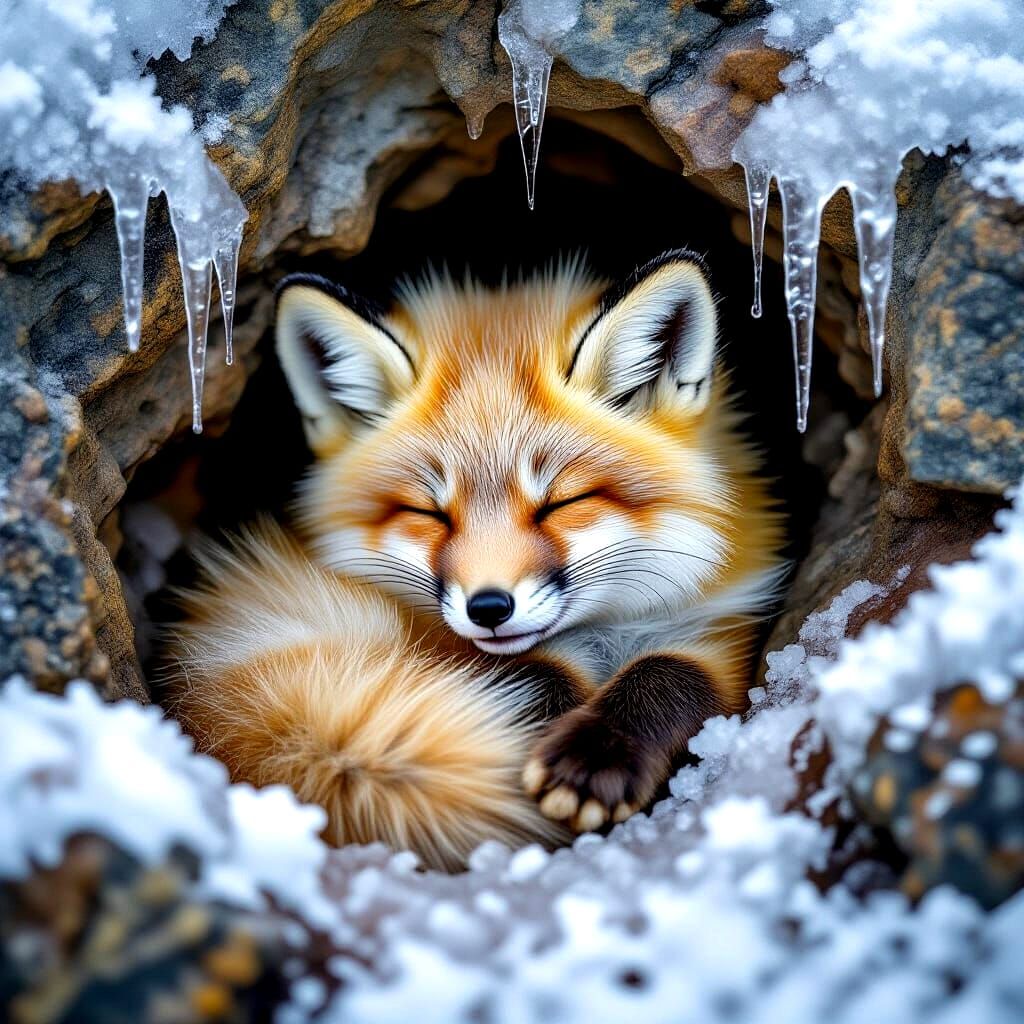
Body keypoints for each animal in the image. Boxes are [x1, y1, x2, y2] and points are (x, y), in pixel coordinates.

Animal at [169, 250, 785, 870]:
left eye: (561, 503)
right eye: (430, 513)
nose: (489, 608)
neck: (601, 640)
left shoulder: (722, 634)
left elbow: (670, 673)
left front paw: (595, 757)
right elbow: (529, 677)